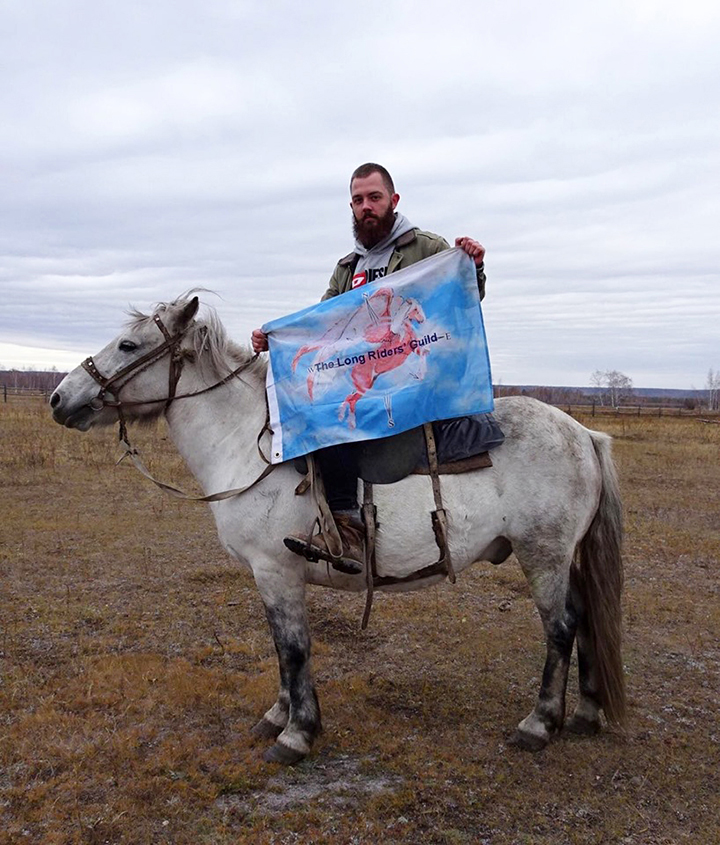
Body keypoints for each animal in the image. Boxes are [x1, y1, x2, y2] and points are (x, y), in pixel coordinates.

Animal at [50, 292, 624, 764]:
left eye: (128, 344)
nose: (58, 398)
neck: (250, 445)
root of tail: (583, 432)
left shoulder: (276, 569)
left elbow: (294, 648)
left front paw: (297, 734)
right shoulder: (270, 576)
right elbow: (281, 647)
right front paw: (277, 717)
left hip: (542, 555)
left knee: (561, 627)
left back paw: (539, 723)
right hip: (561, 558)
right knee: (584, 617)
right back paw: (585, 713)